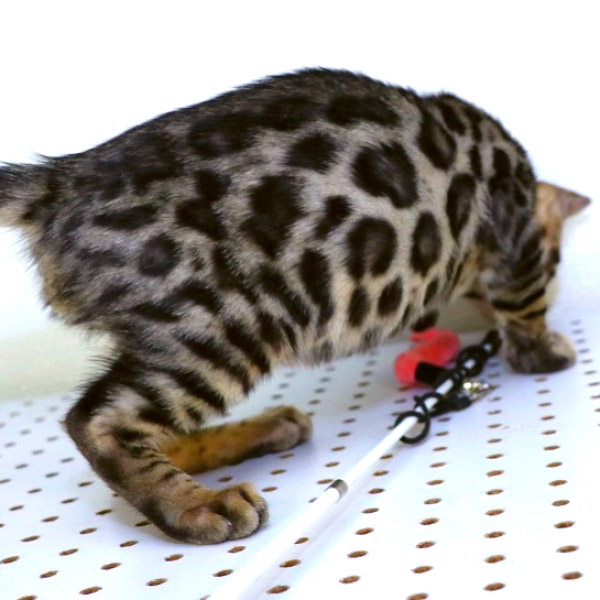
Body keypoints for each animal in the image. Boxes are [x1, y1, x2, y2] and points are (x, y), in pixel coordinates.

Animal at [0, 68, 590, 544]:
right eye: (559, 254)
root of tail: (60, 182)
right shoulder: (517, 238)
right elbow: (528, 302)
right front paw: (545, 348)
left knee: (154, 426)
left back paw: (267, 430)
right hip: (229, 326)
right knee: (98, 420)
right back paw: (197, 506)